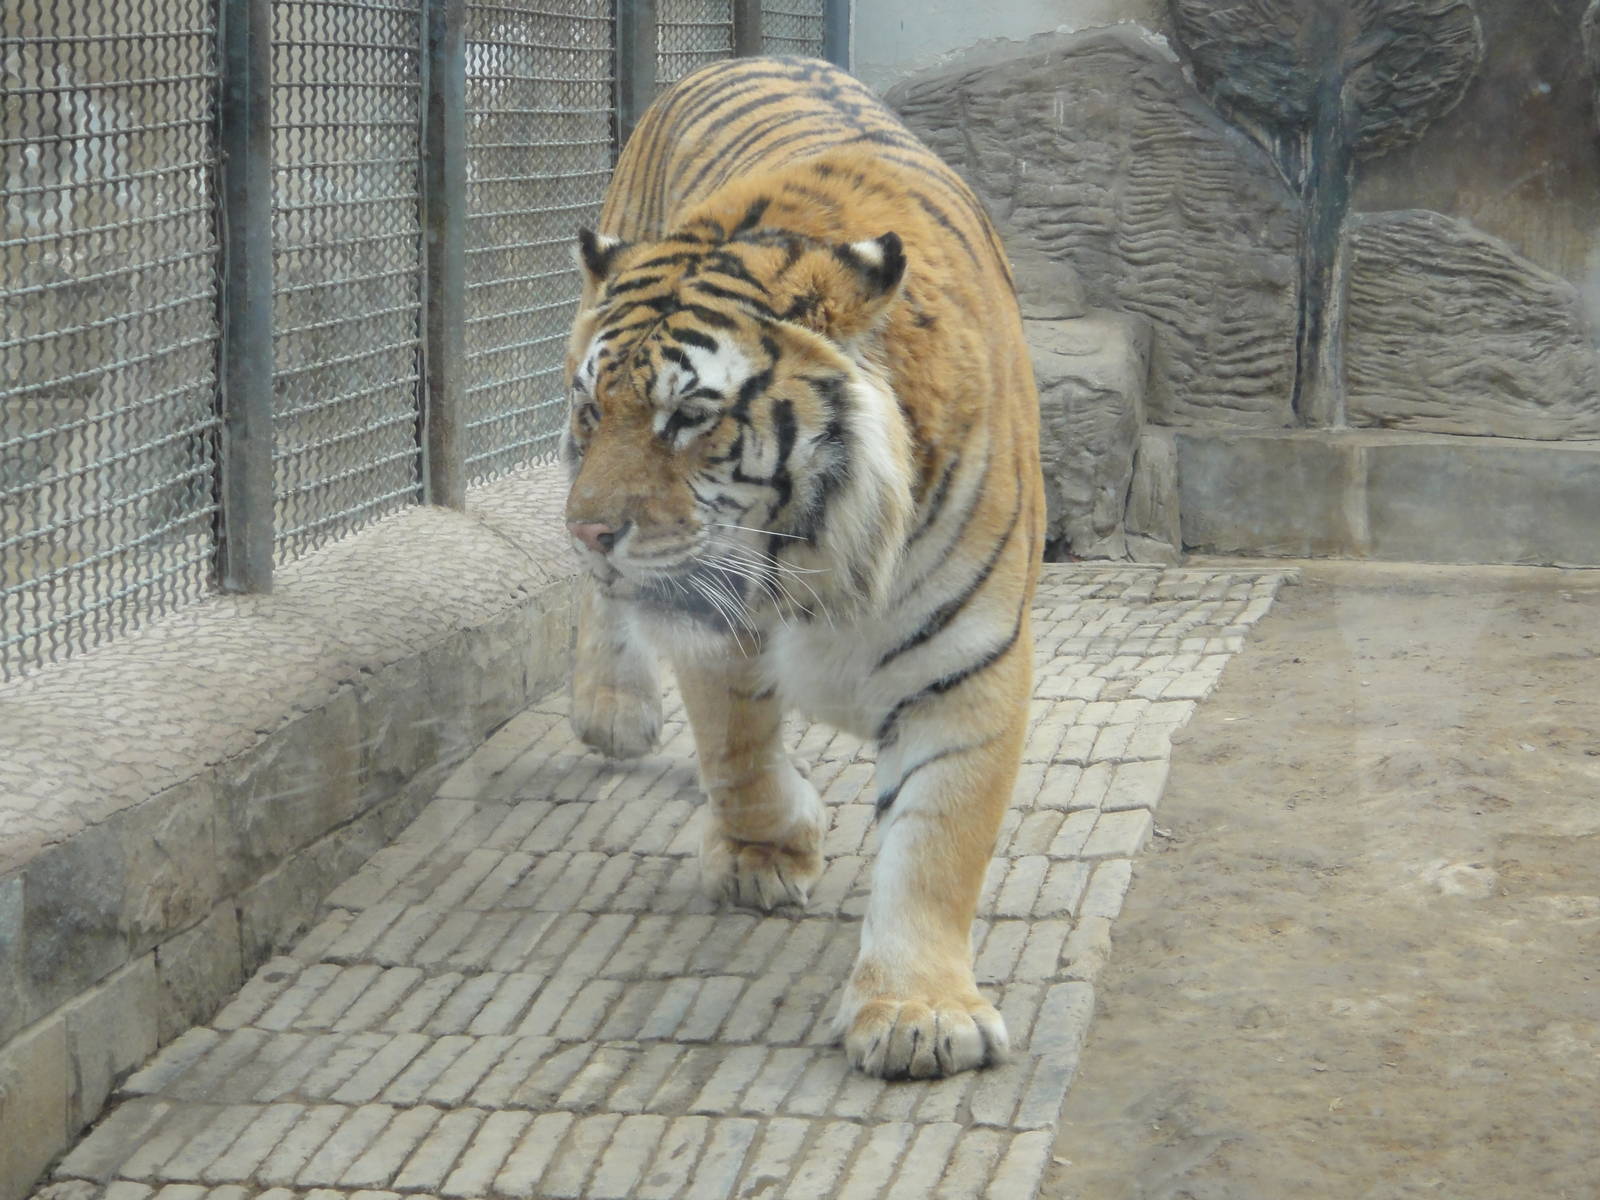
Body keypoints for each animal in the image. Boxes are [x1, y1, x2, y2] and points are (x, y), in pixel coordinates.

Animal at [561, 55, 1043, 1079]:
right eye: (594, 411)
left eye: (688, 417)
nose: (588, 531)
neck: (819, 552)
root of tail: (742, 57)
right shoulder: (712, 618)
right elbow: (736, 750)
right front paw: (766, 855)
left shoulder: (970, 658)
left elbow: (938, 838)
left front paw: (919, 1012)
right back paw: (613, 711)